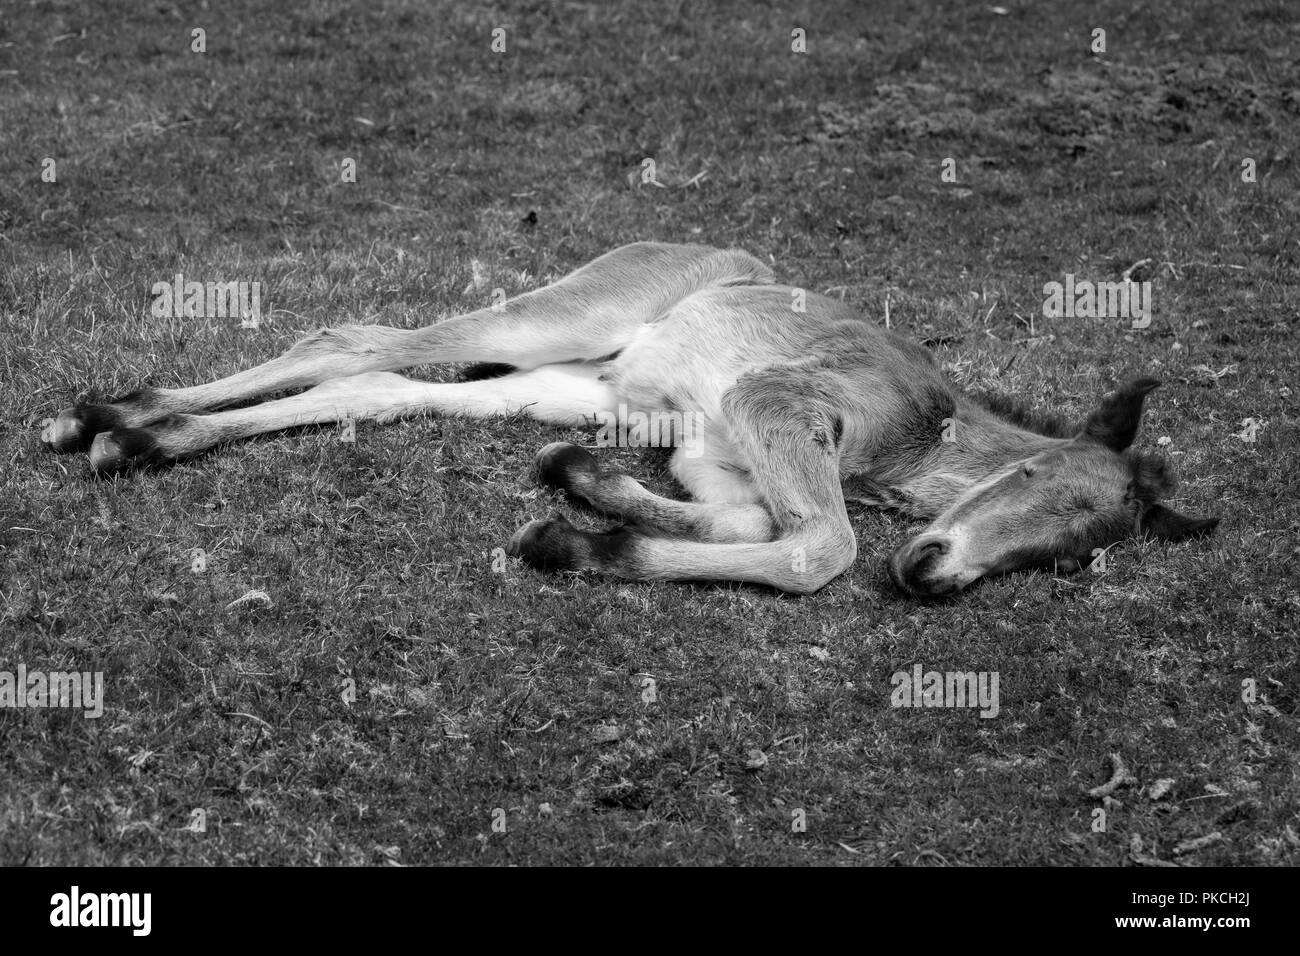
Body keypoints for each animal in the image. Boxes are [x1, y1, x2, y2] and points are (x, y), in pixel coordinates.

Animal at [43, 243, 1216, 595]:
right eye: (1032, 481)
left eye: (1070, 556)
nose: (932, 573)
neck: (922, 437)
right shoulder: (773, 402)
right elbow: (820, 547)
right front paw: (568, 530)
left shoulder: (712, 457)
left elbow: (749, 526)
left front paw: (573, 506)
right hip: (568, 318)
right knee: (357, 336)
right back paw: (106, 417)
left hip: (581, 381)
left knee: (380, 383)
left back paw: (134, 429)